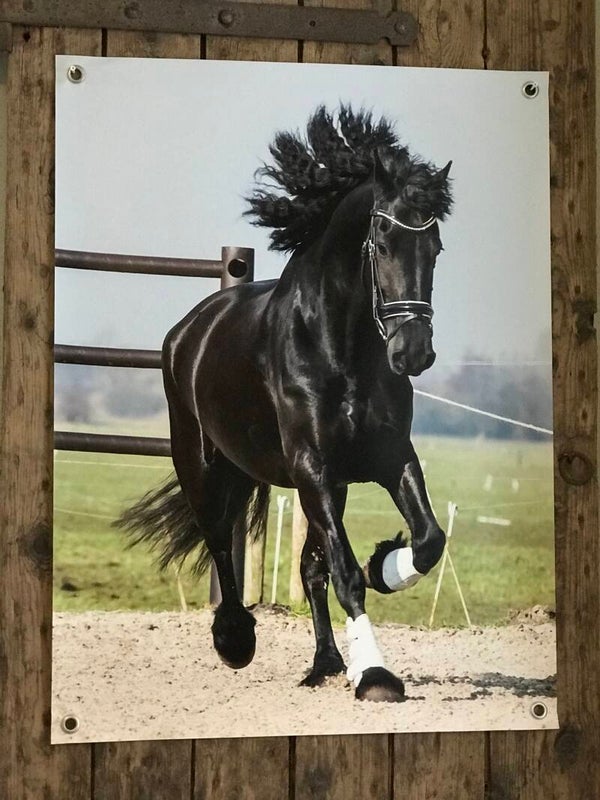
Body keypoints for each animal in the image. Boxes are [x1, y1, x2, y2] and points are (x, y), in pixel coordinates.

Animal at [116, 106, 453, 703]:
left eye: (434, 247)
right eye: (383, 241)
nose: (413, 352)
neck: (339, 347)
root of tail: (188, 330)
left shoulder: (387, 458)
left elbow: (427, 540)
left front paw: (385, 566)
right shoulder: (311, 467)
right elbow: (345, 572)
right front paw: (377, 676)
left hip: (326, 485)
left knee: (308, 567)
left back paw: (326, 662)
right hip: (203, 465)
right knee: (219, 540)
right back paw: (235, 638)